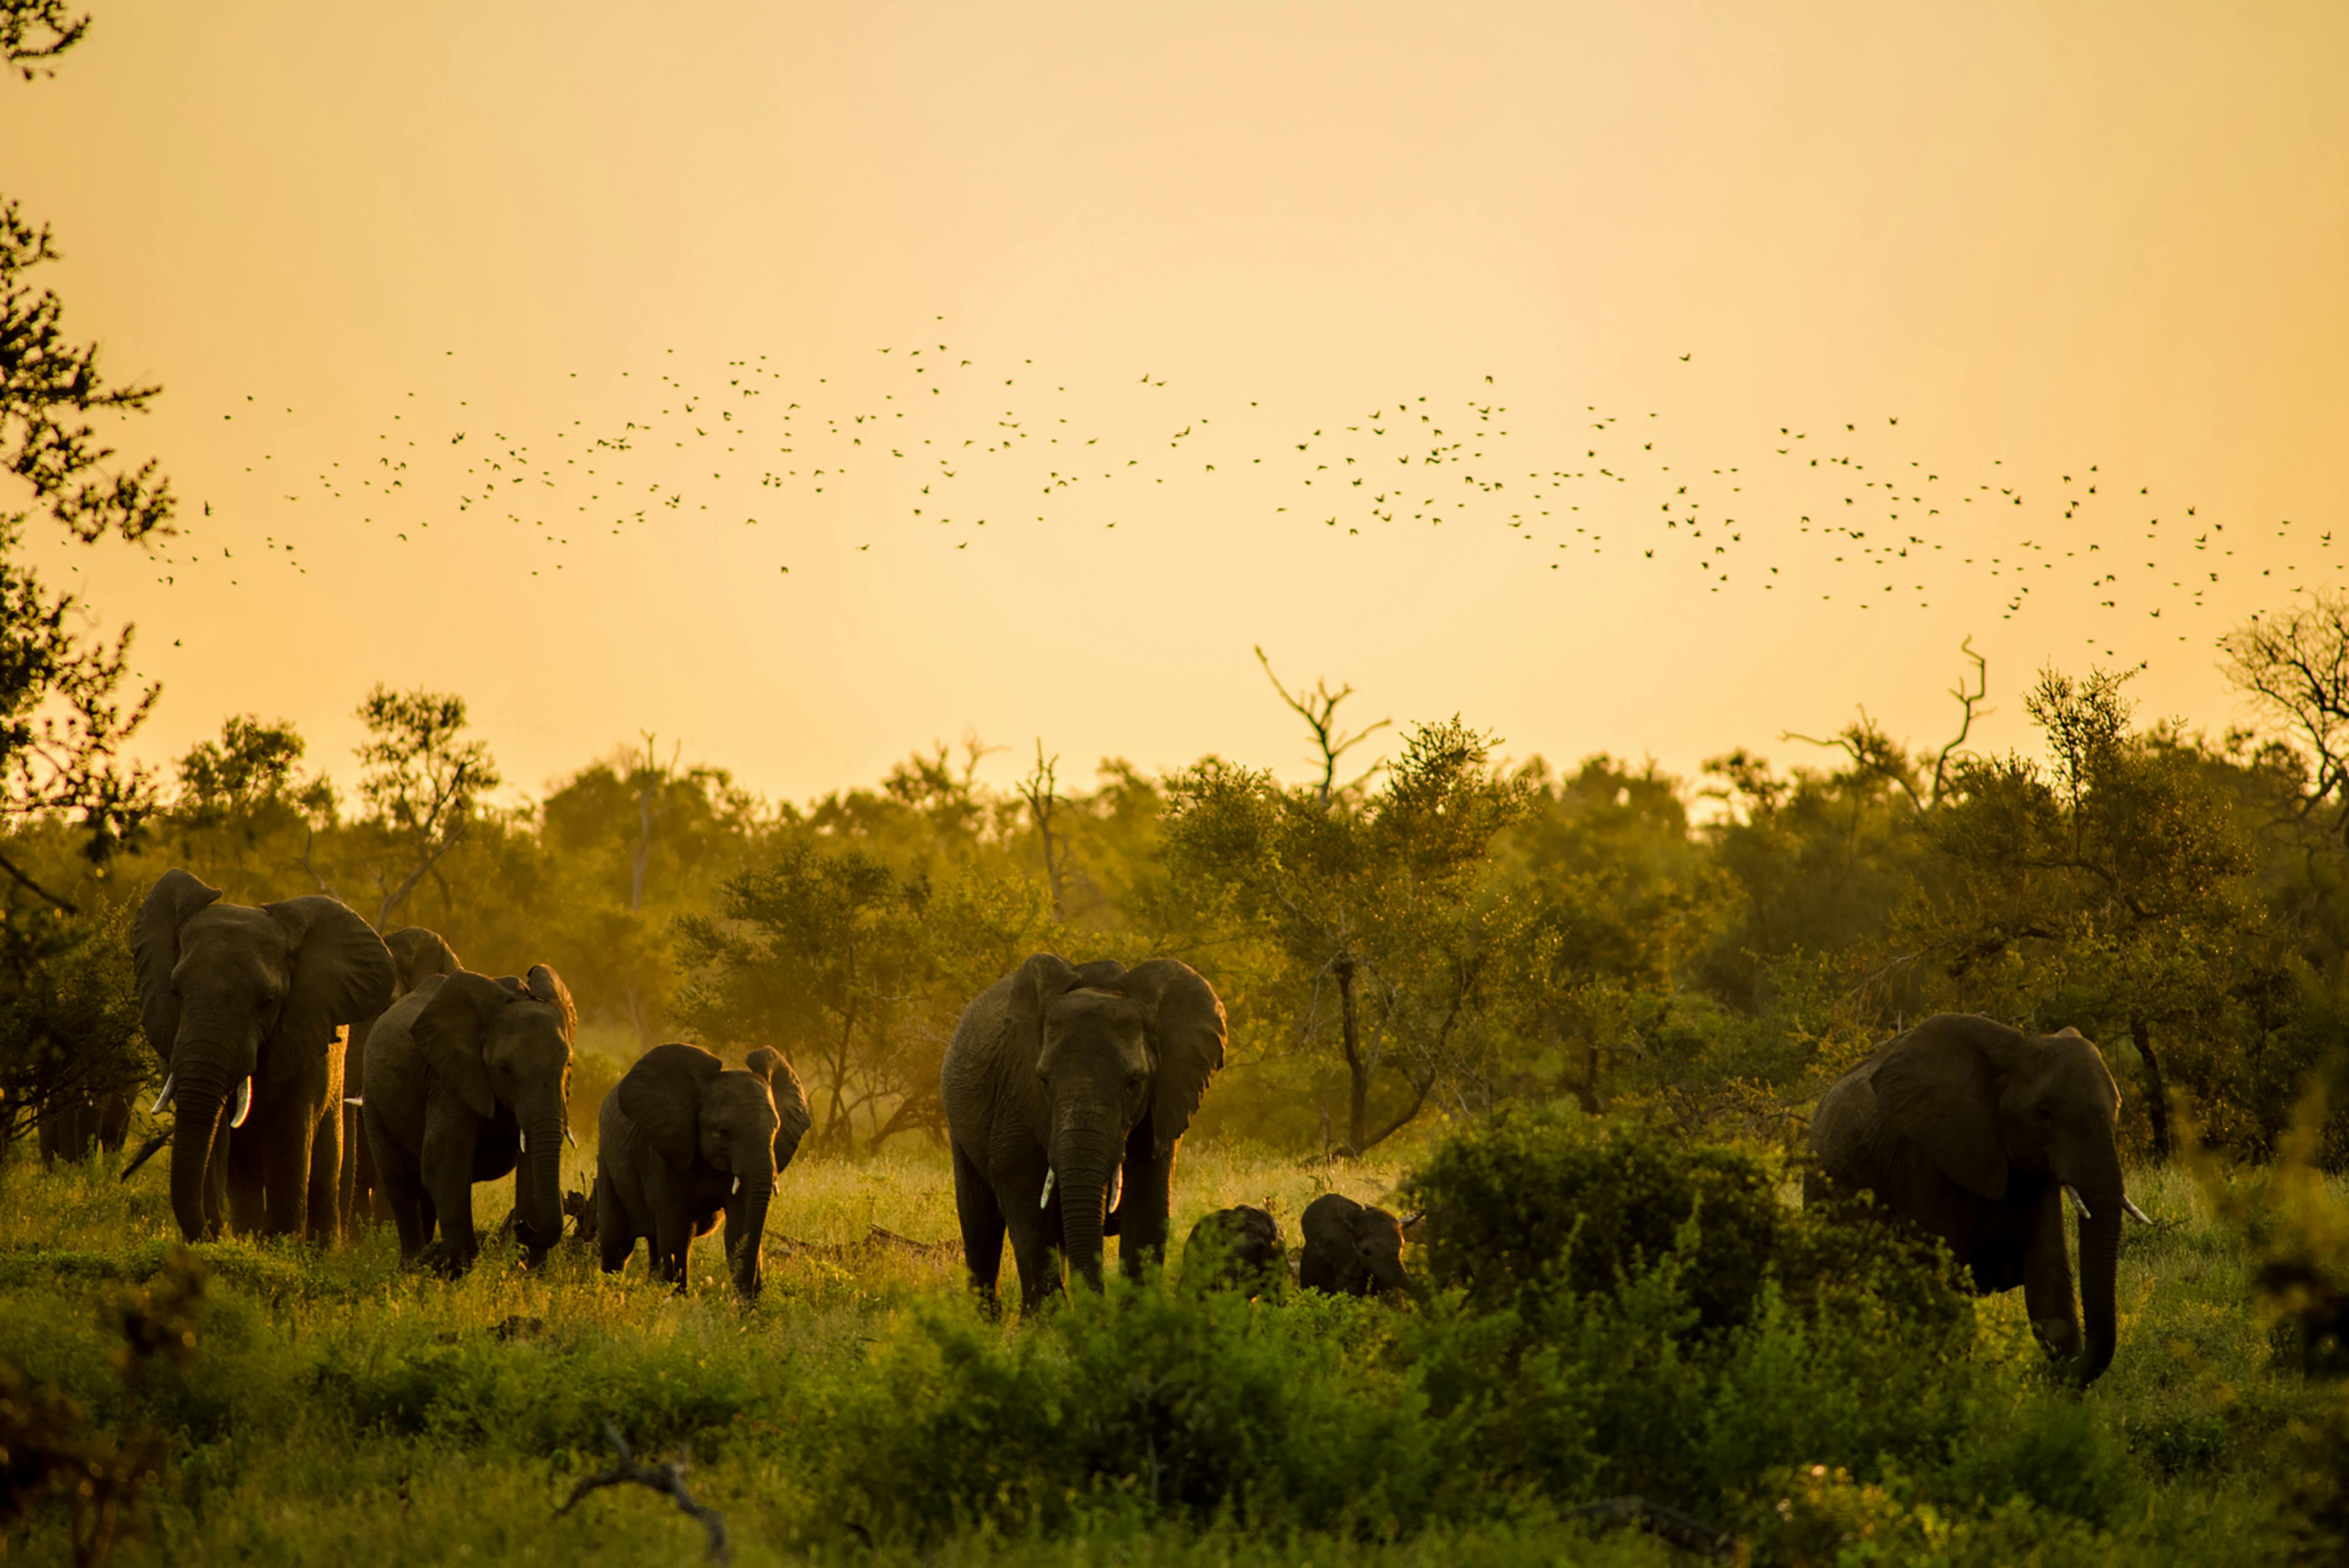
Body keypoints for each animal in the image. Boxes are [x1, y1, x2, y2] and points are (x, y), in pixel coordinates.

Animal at [133, 869, 396, 1243]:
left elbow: (290, 1137)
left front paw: (279, 1246)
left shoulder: (304, 1038)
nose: (213, 1234)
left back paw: (320, 1248)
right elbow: (215, 1136)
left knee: (324, 1173)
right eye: (176, 993)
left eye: (267, 1002)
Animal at [362, 963, 576, 1272]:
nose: (522, 1225)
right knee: (400, 1181)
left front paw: (532, 1272)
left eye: (568, 1064)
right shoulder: (448, 1076)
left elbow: (530, 1164)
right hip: (373, 1098)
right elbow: (443, 1157)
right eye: (505, 1069)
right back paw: (414, 1264)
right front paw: (454, 1268)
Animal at [595, 1043, 812, 1298]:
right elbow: (676, 1232)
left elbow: (739, 1229)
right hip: (606, 1161)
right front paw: (676, 1301)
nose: (752, 1298)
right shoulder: (664, 1152)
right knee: (617, 1243)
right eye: (724, 1132)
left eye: (776, 1130)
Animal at [942, 953, 1226, 1312]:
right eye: (1044, 1080)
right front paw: (1052, 1322)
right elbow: (1027, 1208)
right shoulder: (1016, 1096)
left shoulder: (1161, 1106)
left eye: (1134, 1083)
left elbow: (1147, 1209)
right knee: (981, 1225)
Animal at [1806, 1012, 2151, 1384]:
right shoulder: (1925, 1159)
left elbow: (2048, 1280)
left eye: (2117, 1106)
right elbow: (1939, 1290)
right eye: (2044, 1113)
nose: (2042, 1375)